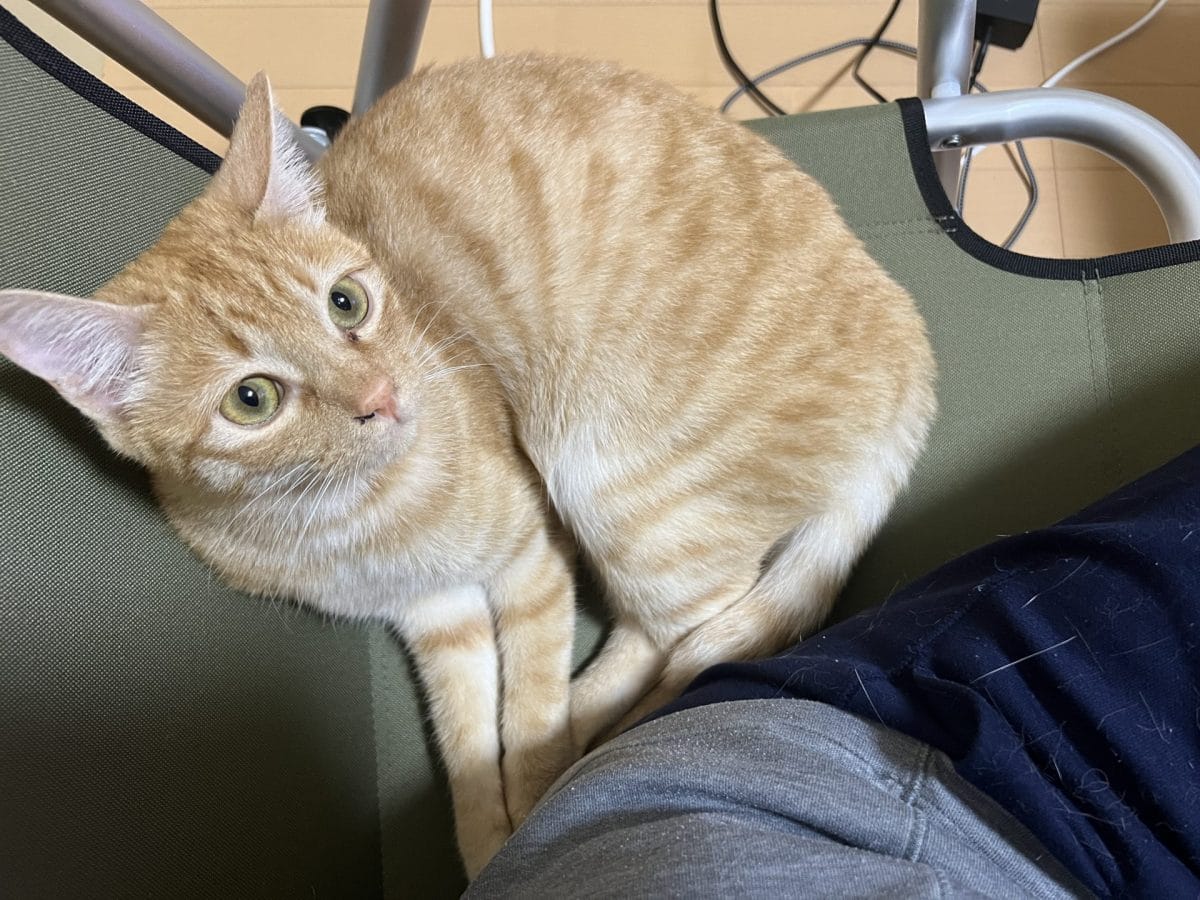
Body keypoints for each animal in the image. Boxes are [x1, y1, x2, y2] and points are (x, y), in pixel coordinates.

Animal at [0, 55, 935, 877]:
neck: (349, 518)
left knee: (695, 629)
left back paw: (593, 727)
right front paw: (488, 836)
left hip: (619, 483)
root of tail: (913, 353)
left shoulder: (531, 561)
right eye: (252, 400)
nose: (380, 394)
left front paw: (535, 796)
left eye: (346, 303)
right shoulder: (436, 616)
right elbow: (465, 741)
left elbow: (525, 705)